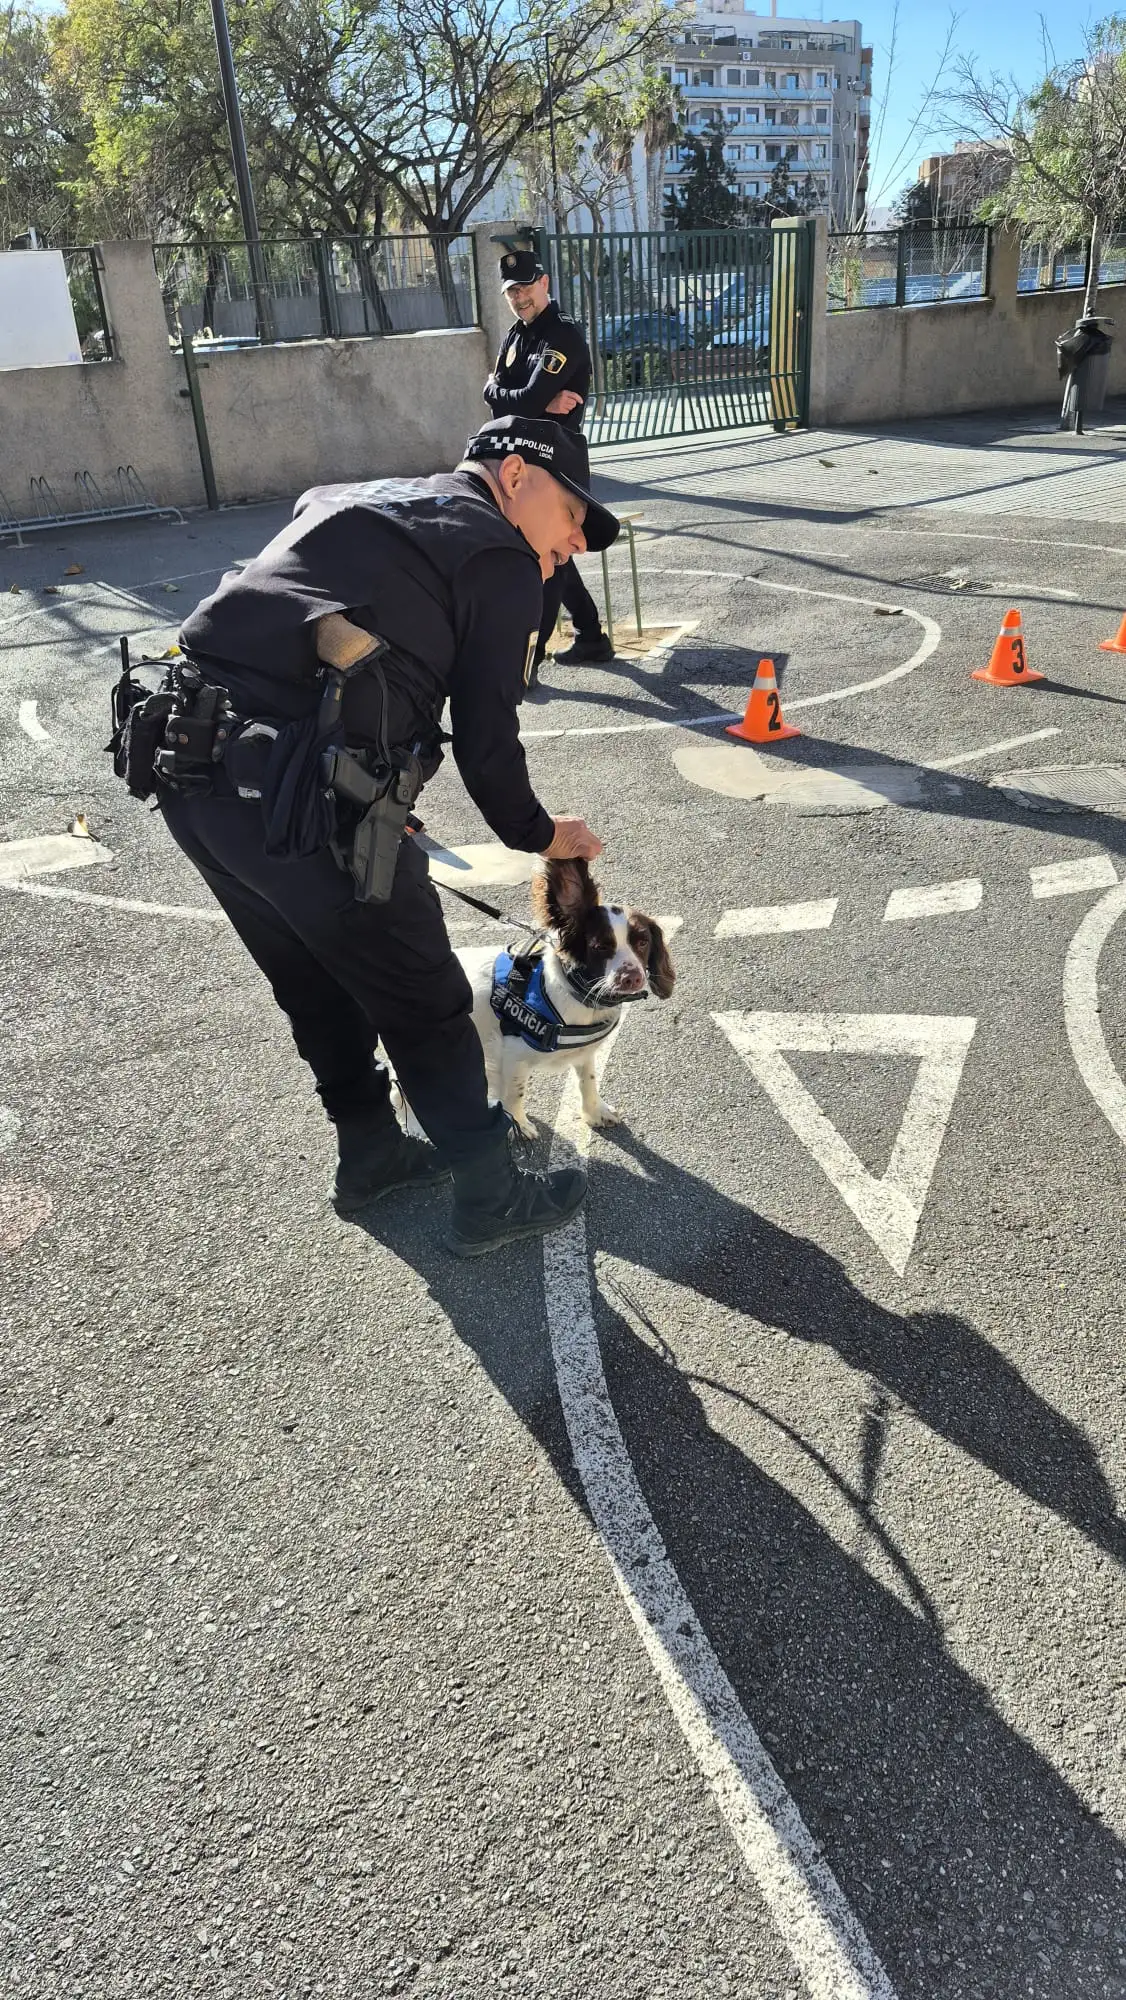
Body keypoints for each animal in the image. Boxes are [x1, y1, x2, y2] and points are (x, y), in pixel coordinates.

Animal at [456, 857, 676, 1139]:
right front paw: (520, 1126)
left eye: (643, 941)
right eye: (600, 946)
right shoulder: (511, 1054)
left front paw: (595, 1112)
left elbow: (588, 1081)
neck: (581, 995)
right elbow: (515, 1093)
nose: (632, 978)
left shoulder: (584, 1052)